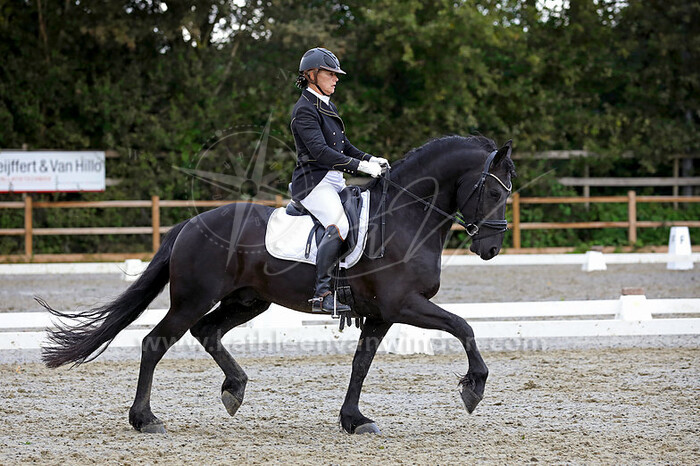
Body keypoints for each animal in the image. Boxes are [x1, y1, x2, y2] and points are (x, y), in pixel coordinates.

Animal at [39, 135, 516, 435]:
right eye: (494, 193)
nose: (491, 248)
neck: (404, 216)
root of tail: (190, 224)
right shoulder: (404, 305)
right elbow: (464, 327)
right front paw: (474, 388)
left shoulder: (381, 315)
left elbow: (361, 364)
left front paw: (354, 419)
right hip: (193, 299)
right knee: (155, 342)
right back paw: (146, 419)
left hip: (249, 301)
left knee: (207, 332)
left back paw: (234, 389)